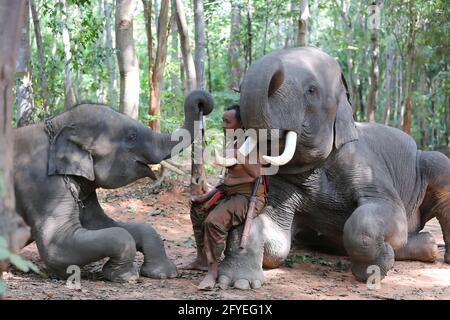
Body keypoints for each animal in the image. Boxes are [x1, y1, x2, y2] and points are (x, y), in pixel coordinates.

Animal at [14, 89, 214, 282]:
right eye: (131, 136)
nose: (202, 103)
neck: (58, 123)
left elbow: (102, 223)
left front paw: (164, 274)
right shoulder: (44, 185)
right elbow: (57, 248)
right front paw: (125, 276)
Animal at [215, 47, 450, 290]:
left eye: (311, 90)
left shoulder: (365, 164)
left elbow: (388, 216)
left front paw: (376, 267)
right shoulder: (283, 184)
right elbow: (273, 241)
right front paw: (238, 282)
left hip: (431, 163)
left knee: (438, 169)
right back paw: (429, 246)